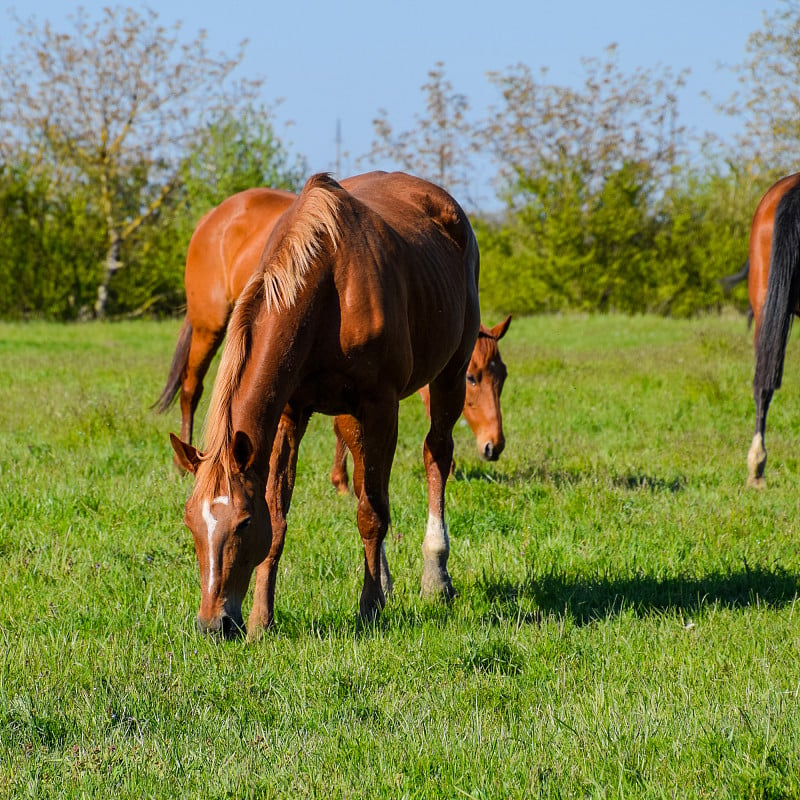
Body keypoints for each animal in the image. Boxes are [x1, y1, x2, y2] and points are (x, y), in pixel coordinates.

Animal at [170, 173, 482, 636]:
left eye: (243, 523)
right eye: (191, 521)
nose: (214, 624)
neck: (330, 280)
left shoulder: (381, 405)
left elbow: (373, 512)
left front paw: (369, 608)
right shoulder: (290, 412)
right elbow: (281, 515)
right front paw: (262, 619)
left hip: (452, 374)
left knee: (436, 456)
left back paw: (435, 575)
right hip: (351, 416)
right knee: (365, 478)